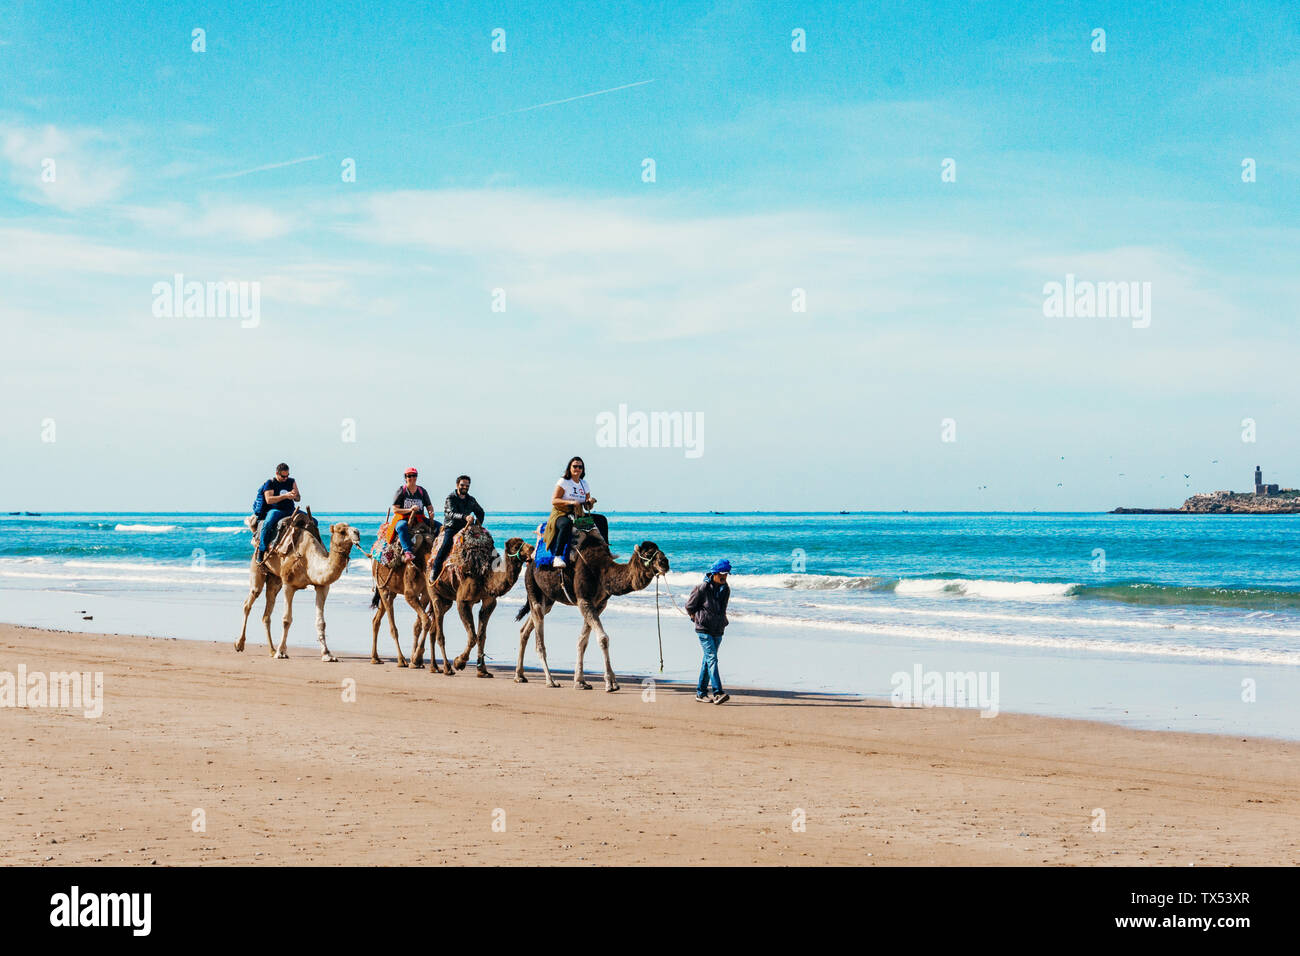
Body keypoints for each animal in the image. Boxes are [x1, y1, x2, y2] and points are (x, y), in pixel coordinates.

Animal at [236, 512, 361, 660]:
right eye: (341, 531)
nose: (357, 532)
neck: (308, 559)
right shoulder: (288, 584)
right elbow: (286, 620)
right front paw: (281, 652)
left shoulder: (322, 586)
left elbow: (321, 622)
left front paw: (327, 654)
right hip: (257, 566)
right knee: (249, 601)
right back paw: (240, 644)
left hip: (275, 579)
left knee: (267, 611)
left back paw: (271, 650)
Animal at [410, 535, 533, 676]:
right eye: (516, 546)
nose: (532, 548)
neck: (485, 575)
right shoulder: (463, 601)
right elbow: (473, 636)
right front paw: (459, 662)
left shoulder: (489, 601)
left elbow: (481, 636)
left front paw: (482, 670)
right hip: (433, 591)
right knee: (439, 632)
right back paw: (446, 667)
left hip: (446, 600)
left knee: (434, 628)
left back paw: (433, 666)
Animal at [509, 530, 665, 697]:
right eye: (648, 553)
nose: (665, 562)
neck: (602, 571)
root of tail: (530, 563)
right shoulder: (584, 600)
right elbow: (603, 638)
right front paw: (611, 683)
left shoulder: (599, 604)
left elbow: (582, 641)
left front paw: (580, 682)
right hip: (533, 588)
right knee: (539, 640)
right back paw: (550, 680)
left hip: (548, 599)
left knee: (525, 629)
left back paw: (519, 675)